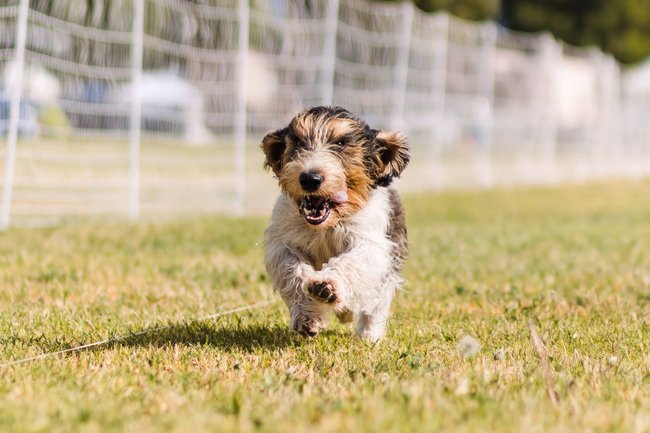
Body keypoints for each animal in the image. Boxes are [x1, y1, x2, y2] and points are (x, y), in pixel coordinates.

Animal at [260, 105, 408, 340]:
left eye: (340, 143)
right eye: (299, 143)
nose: (309, 178)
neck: (326, 226)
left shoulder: (370, 243)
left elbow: (352, 262)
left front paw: (327, 286)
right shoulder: (284, 242)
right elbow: (292, 269)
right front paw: (308, 317)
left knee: (375, 303)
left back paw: (369, 335)